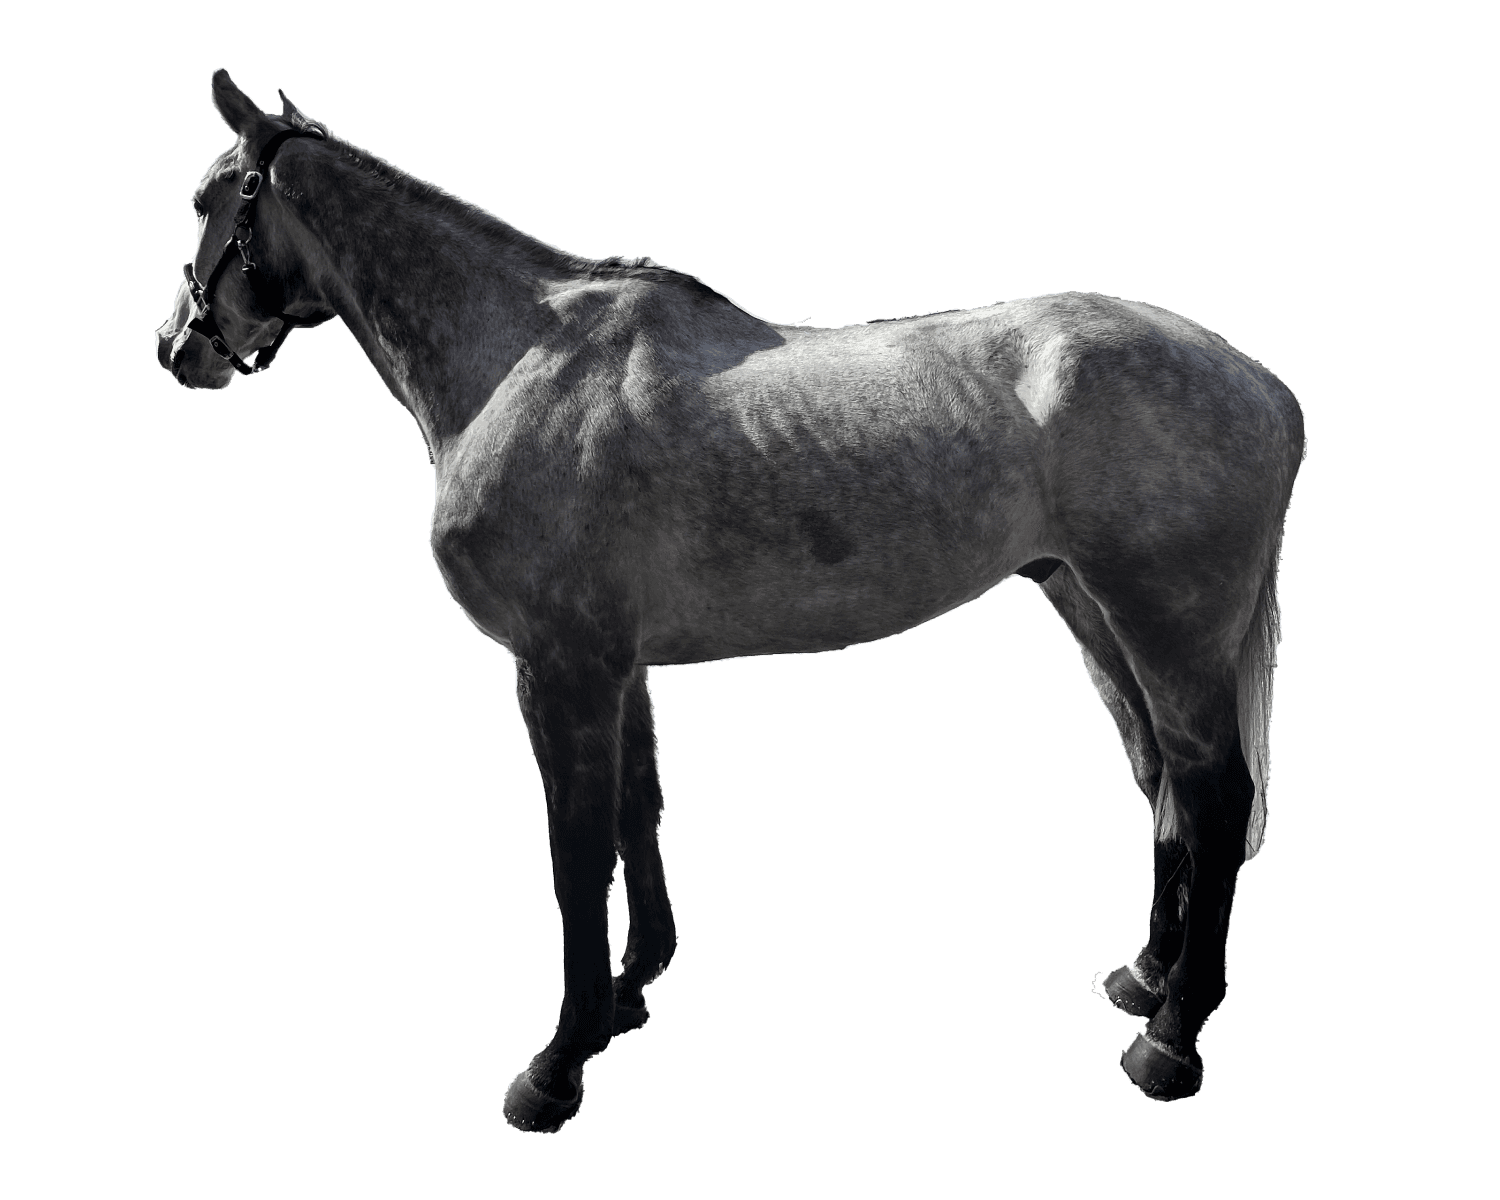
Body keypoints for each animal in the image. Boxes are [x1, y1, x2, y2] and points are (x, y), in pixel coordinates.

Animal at [155, 70, 1305, 1132]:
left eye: (213, 199)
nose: (179, 347)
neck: (524, 359)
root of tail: (1265, 385)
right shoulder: (614, 663)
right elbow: (636, 810)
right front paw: (629, 990)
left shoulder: (557, 666)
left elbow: (575, 848)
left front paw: (558, 1062)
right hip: (1093, 612)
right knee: (1162, 783)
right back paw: (1147, 979)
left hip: (1167, 626)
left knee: (1214, 796)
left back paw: (1172, 1040)